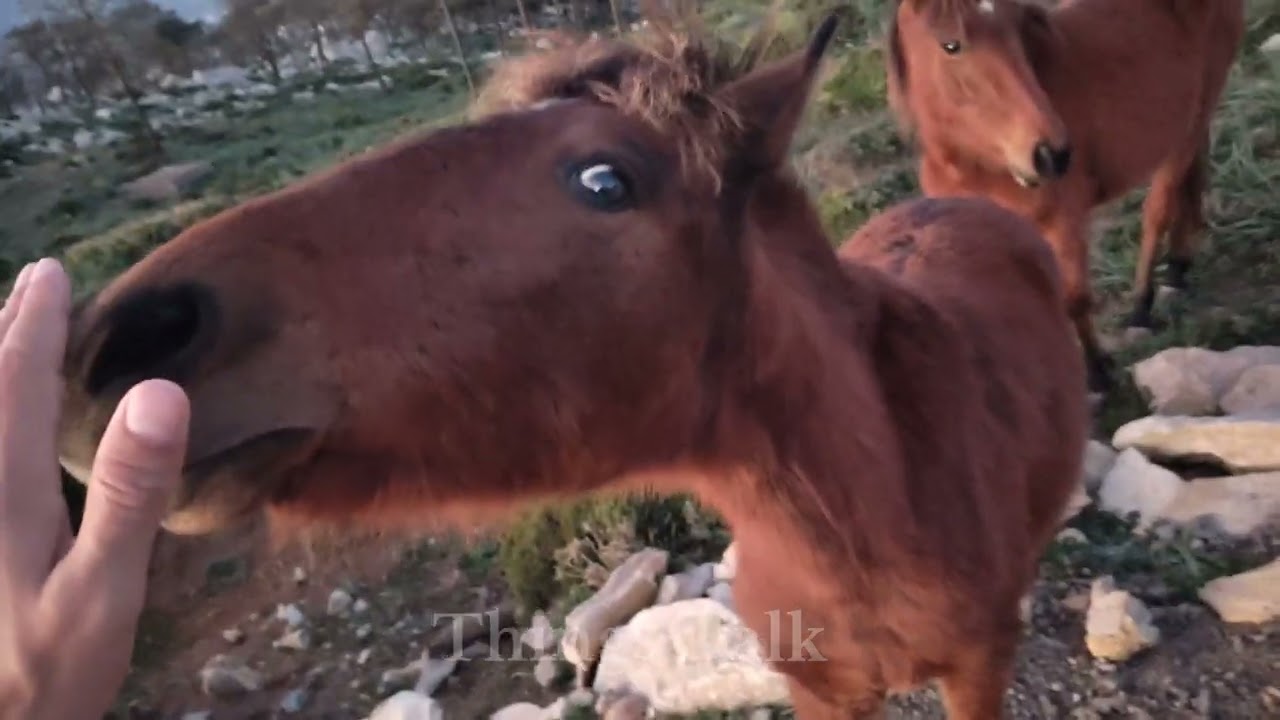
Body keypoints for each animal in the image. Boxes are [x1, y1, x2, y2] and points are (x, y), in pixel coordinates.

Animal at [885, 0, 1246, 393]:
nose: (1052, 154)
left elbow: (1072, 299)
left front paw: (1097, 372)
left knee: (1160, 207)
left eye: (1017, 29)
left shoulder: (1064, 224)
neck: (978, 166)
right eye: (951, 45)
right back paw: (1178, 267)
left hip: (1190, 123)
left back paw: (1142, 304)